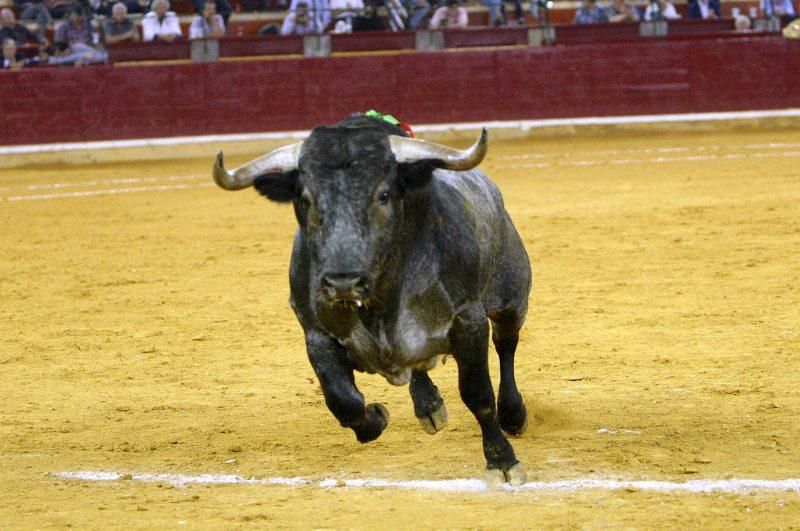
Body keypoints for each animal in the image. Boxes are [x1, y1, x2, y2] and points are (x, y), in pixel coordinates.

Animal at [214, 115, 532, 486]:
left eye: (383, 194)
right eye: (306, 198)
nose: (342, 280)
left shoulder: (469, 323)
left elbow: (478, 394)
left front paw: (503, 461)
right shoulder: (316, 334)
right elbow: (343, 400)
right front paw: (376, 417)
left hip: (511, 295)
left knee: (506, 343)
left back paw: (513, 413)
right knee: (418, 364)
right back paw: (428, 406)